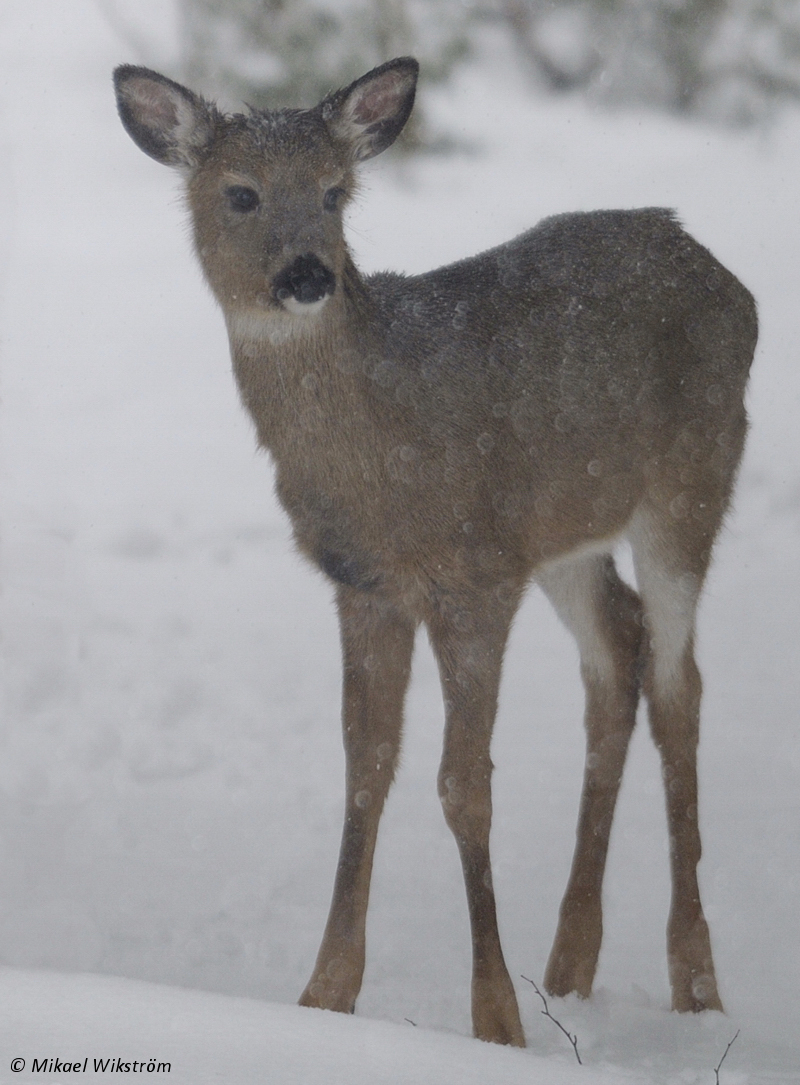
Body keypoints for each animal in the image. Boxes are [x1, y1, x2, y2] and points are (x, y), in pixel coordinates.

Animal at [112, 55, 755, 1045]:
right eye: (241, 192)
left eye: (335, 192)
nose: (310, 273)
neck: (383, 457)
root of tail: (730, 280)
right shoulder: (365, 585)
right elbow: (365, 769)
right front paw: (324, 994)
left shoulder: (474, 577)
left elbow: (463, 785)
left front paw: (495, 1019)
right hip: (564, 533)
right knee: (620, 650)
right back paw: (570, 967)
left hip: (691, 481)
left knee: (680, 685)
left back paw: (694, 985)